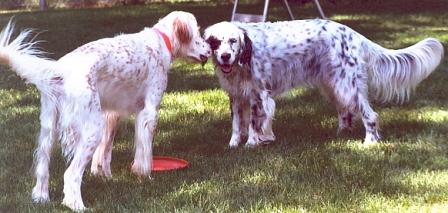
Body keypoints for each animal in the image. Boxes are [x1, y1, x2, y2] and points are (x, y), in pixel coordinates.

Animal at [205, 20, 442, 147]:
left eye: (233, 41)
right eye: (215, 42)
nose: (225, 57)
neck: (242, 60)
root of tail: (353, 34)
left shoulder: (259, 94)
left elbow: (254, 123)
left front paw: (253, 144)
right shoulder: (236, 96)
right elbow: (237, 125)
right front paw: (233, 145)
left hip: (347, 85)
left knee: (369, 114)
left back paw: (370, 141)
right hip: (333, 83)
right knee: (346, 112)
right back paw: (340, 135)